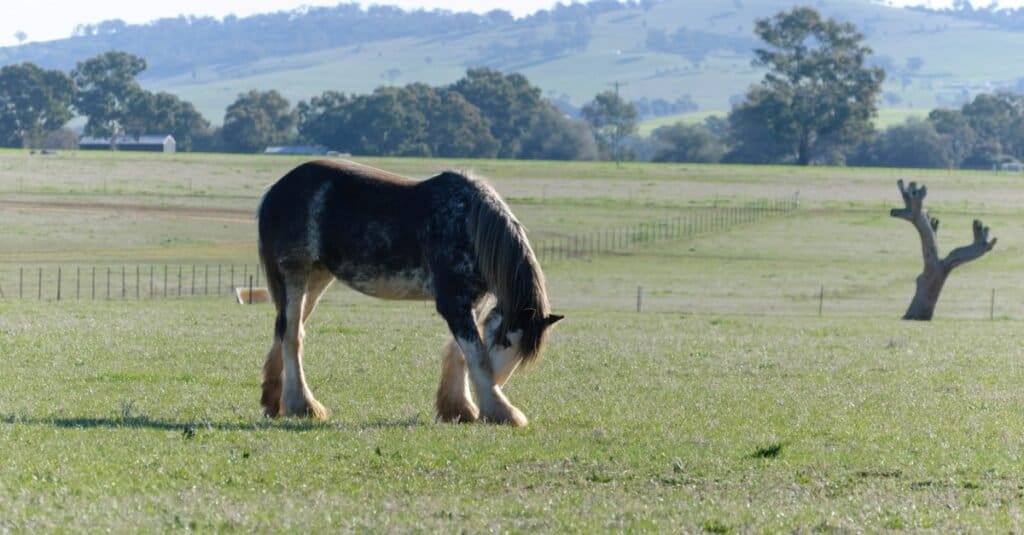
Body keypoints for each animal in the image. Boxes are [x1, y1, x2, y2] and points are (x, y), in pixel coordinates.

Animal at [256, 157, 561, 424]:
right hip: (295, 273)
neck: (467, 225)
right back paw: (302, 405)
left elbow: (461, 354)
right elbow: (477, 356)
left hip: (317, 277)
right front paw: (501, 412)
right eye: (505, 341)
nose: (499, 382)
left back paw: (273, 401)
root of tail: (275, 191)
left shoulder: (472, 304)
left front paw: (460, 409)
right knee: (291, 336)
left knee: (286, 330)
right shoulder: (453, 303)